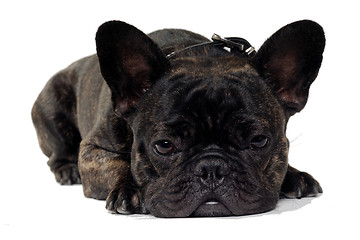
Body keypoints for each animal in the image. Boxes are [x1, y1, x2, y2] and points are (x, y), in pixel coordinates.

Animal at [32, 20, 324, 218]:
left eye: (259, 141)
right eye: (164, 145)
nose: (211, 169)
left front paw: (294, 175)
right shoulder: (93, 149)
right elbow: (116, 163)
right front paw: (128, 190)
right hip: (51, 108)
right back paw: (67, 170)